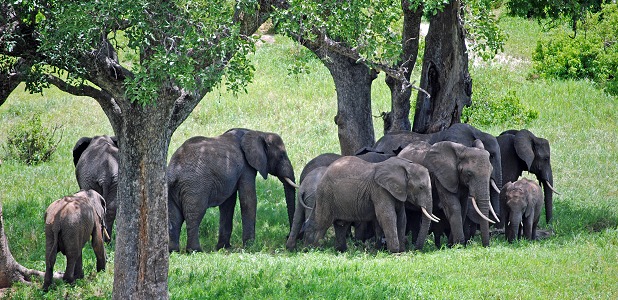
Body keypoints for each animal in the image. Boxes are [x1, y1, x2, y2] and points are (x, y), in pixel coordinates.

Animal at [166, 127, 296, 252]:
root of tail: (174, 171)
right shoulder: (246, 167)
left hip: (171, 190)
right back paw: (195, 250)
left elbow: (228, 204)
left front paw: (223, 247)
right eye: (282, 155)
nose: (287, 236)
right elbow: (248, 200)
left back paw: (173, 250)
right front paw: (250, 247)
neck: (258, 132)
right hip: (195, 186)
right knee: (194, 215)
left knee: (174, 217)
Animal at [300, 156, 436, 252]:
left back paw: (340, 251)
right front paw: (395, 252)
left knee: (341, 225)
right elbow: (387, 216)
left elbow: (401, 217)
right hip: (326, 195)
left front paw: (401, 251)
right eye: (421, 187)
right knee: (322, 222)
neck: (406, 165)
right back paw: (312, 249)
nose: (416, 249)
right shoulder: (380, 190)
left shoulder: (397, 191)